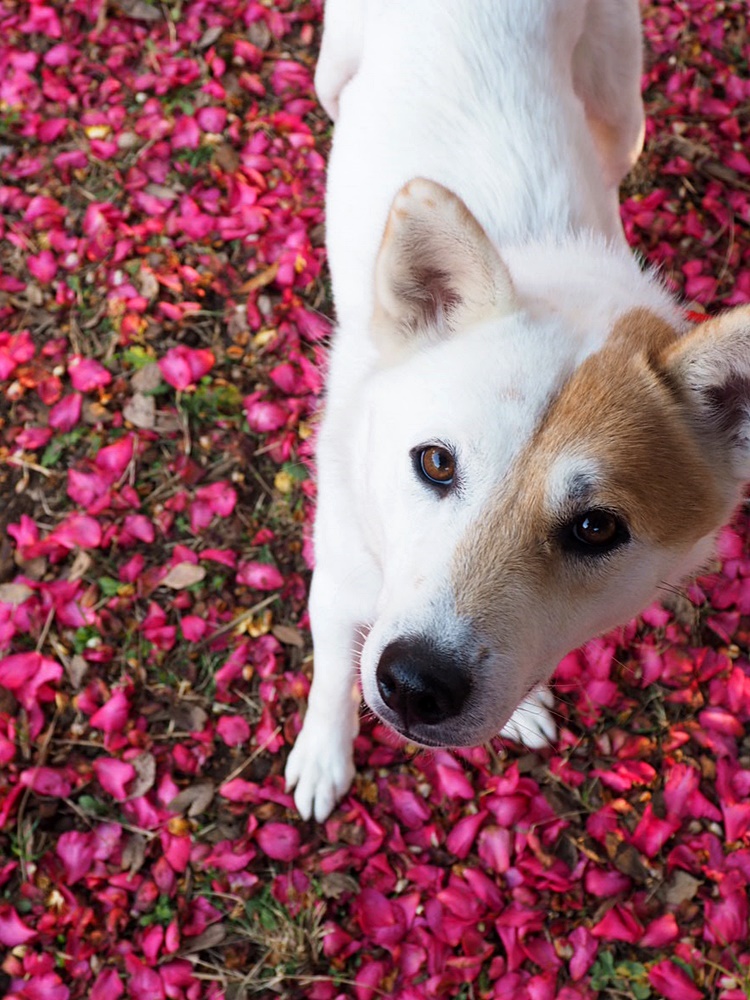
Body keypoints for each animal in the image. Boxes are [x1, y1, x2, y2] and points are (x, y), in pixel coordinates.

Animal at [284, 0, 750, 820]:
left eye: (597, 528)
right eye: (435, 463)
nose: (414, 685)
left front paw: (524, 710)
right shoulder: (339, 574)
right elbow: (333, 671)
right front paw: (322, 754)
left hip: (619, 106)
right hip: (336, 66)